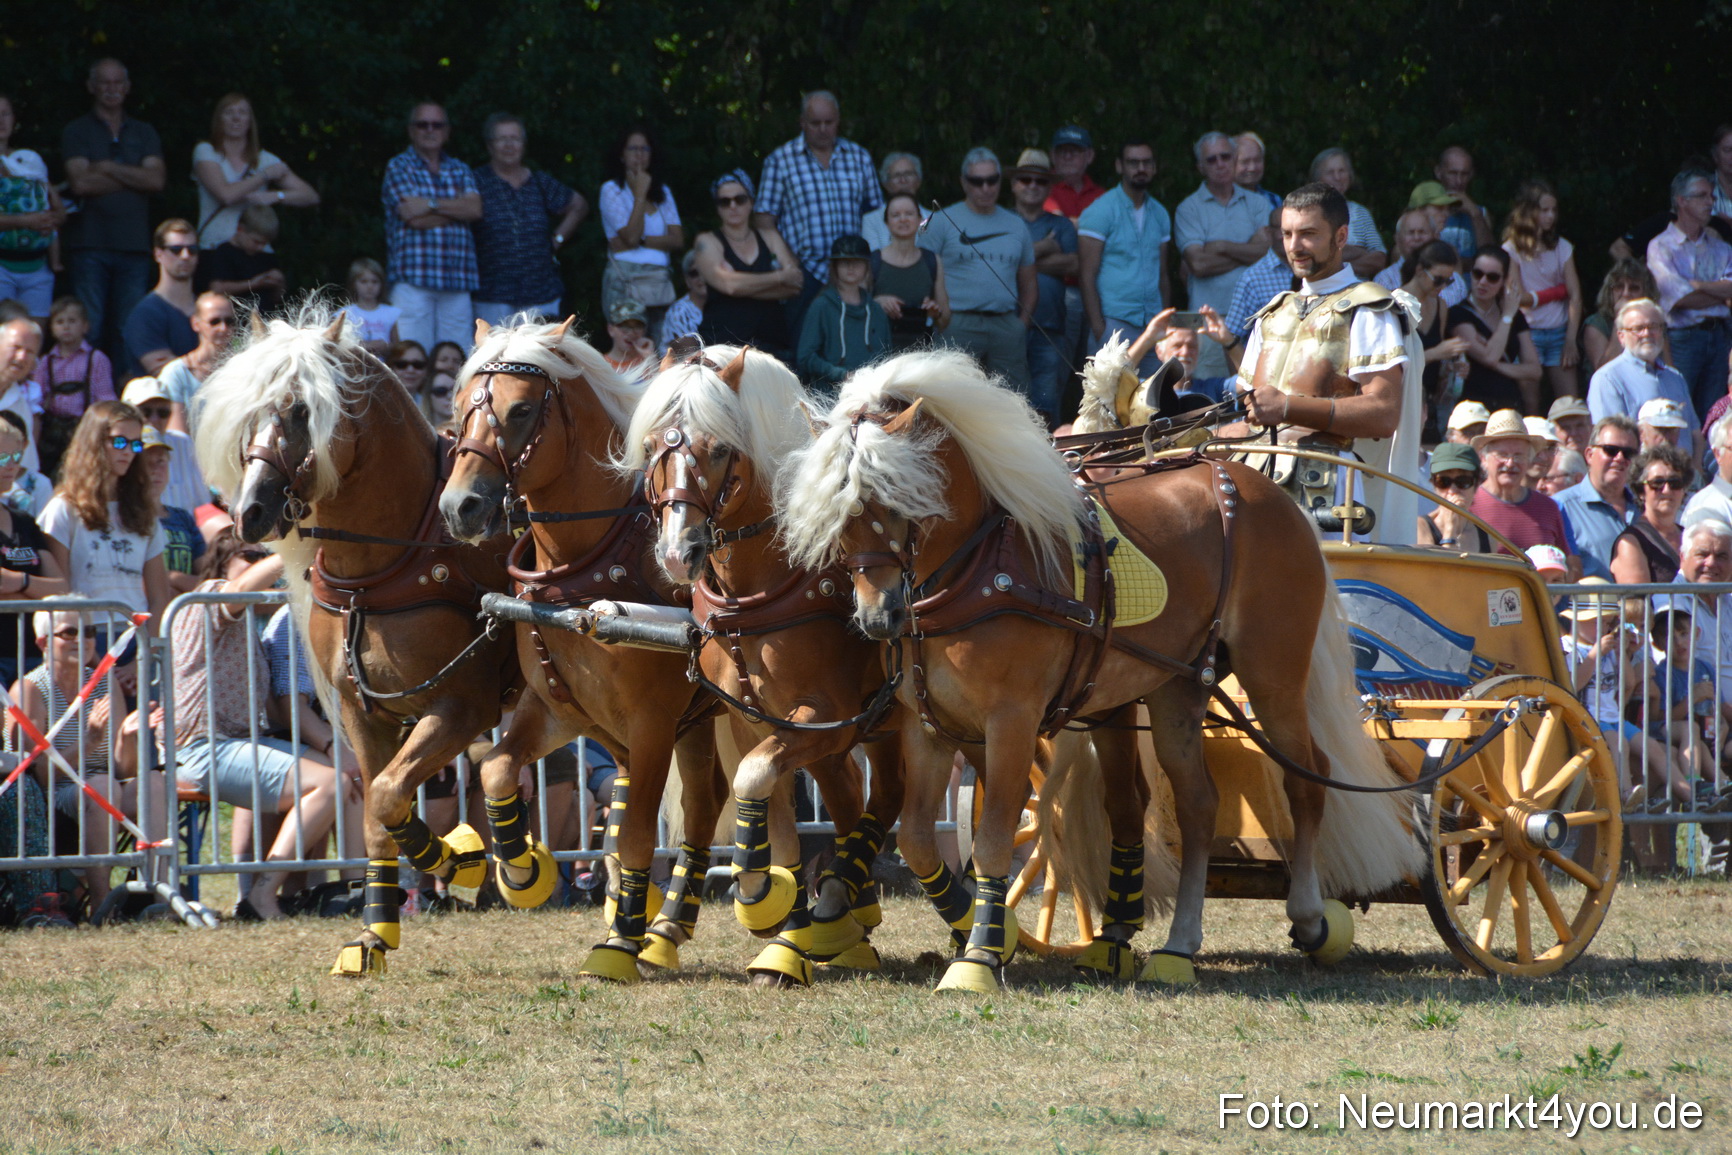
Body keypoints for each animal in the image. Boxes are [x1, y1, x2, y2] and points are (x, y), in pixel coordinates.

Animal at [197, 307, 520, 977]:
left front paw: (459, 860)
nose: (250, 512)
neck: (392, 560)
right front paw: (376, 931)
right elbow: (378, 809)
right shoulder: (361, 712)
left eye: (301, 411)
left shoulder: (462, 706)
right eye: (251, 412)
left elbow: (390, 796)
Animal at [439, 318, 729, 983]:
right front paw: (521, 867)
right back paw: (668, 927)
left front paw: (619, 943)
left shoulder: (652, 722)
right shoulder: (559, 709)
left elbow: (637, 833)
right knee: (706, 803)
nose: (458, 507)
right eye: (459, 410)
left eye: (520, 411)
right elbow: (496, 769)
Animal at [623, 345, 904, 984]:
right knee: (854, 801)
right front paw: (774, 906)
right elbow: (772, 808)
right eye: (652, 447)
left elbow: (755, 779)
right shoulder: (762, 720)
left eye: (717, 449)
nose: (677, 553)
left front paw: (772, 911)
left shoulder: (829, 716)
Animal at [778, 349, 1423, 991]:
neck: (978, 570)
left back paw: (1309, 916)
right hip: (1178, 687)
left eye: (895, 499)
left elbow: (993, 840)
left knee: (1306, 780)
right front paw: (978, 929)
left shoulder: (1012, 721)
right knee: (1198, 804)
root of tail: (1265, 490)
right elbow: (915, 839)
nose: (878, 616)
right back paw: (1178, 944)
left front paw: (980, 956)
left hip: (1274, 672)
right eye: (836, 515)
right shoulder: (928, 723)